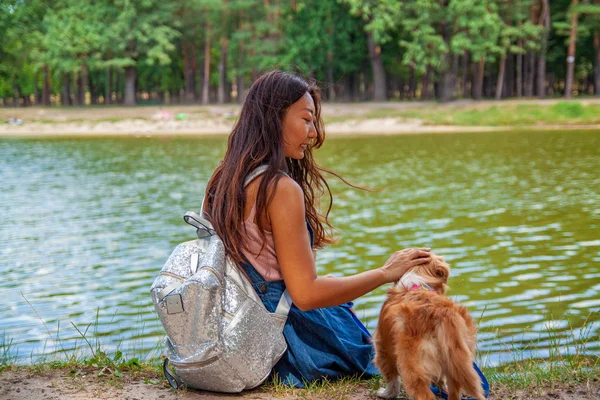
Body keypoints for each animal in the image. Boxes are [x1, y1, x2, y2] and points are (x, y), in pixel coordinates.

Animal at [372, 255, 486, 398]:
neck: (417, 283)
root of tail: (441, 313)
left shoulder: (382, 348)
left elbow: (392, 379)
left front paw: (385, 393)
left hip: (412, 367)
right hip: (456, 362)